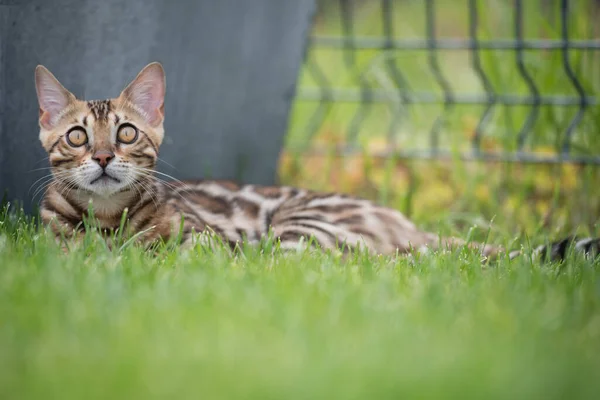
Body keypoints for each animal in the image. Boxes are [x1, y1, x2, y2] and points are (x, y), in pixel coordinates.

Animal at [34, 63, 600, 260]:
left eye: (126, 133)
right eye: (78, 136)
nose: (103, 156)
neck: (109, 222)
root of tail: (406, 223)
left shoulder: (206, 242)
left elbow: (171, 254)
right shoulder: (53, 249)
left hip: (299, 232)